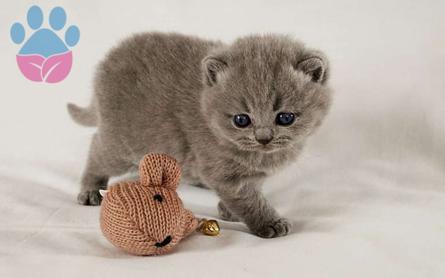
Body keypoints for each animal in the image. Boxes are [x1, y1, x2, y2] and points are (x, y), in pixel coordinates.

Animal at [67, 32, 332, 237]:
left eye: (285, 118)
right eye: (241, 120)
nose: (264, 138)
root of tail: (106, 63)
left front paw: (228, 211)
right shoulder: (223, 173)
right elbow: (249, 200)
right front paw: (269, 222)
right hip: (121, 142)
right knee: (97, 148)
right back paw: (90, 191)